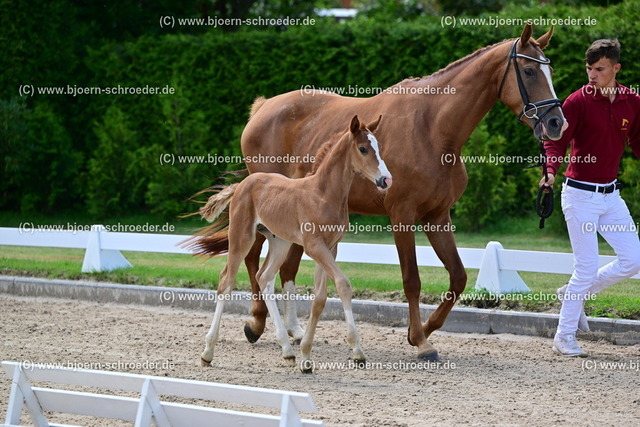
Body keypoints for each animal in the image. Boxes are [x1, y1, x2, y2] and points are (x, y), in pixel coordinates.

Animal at [185, 115, 392, 371]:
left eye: (379, 147)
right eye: (363, 149)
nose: (386, 180)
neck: (323, 194)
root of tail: (242, 183)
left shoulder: (330, 248)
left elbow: (320, 298)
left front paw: (307, 356)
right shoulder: (314, 247)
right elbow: (343, 284)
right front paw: (356, 351)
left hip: (280, 242)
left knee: (264, 277)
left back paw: (287, 350)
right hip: (242, 236)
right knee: (226, 281)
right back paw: (208, 352)